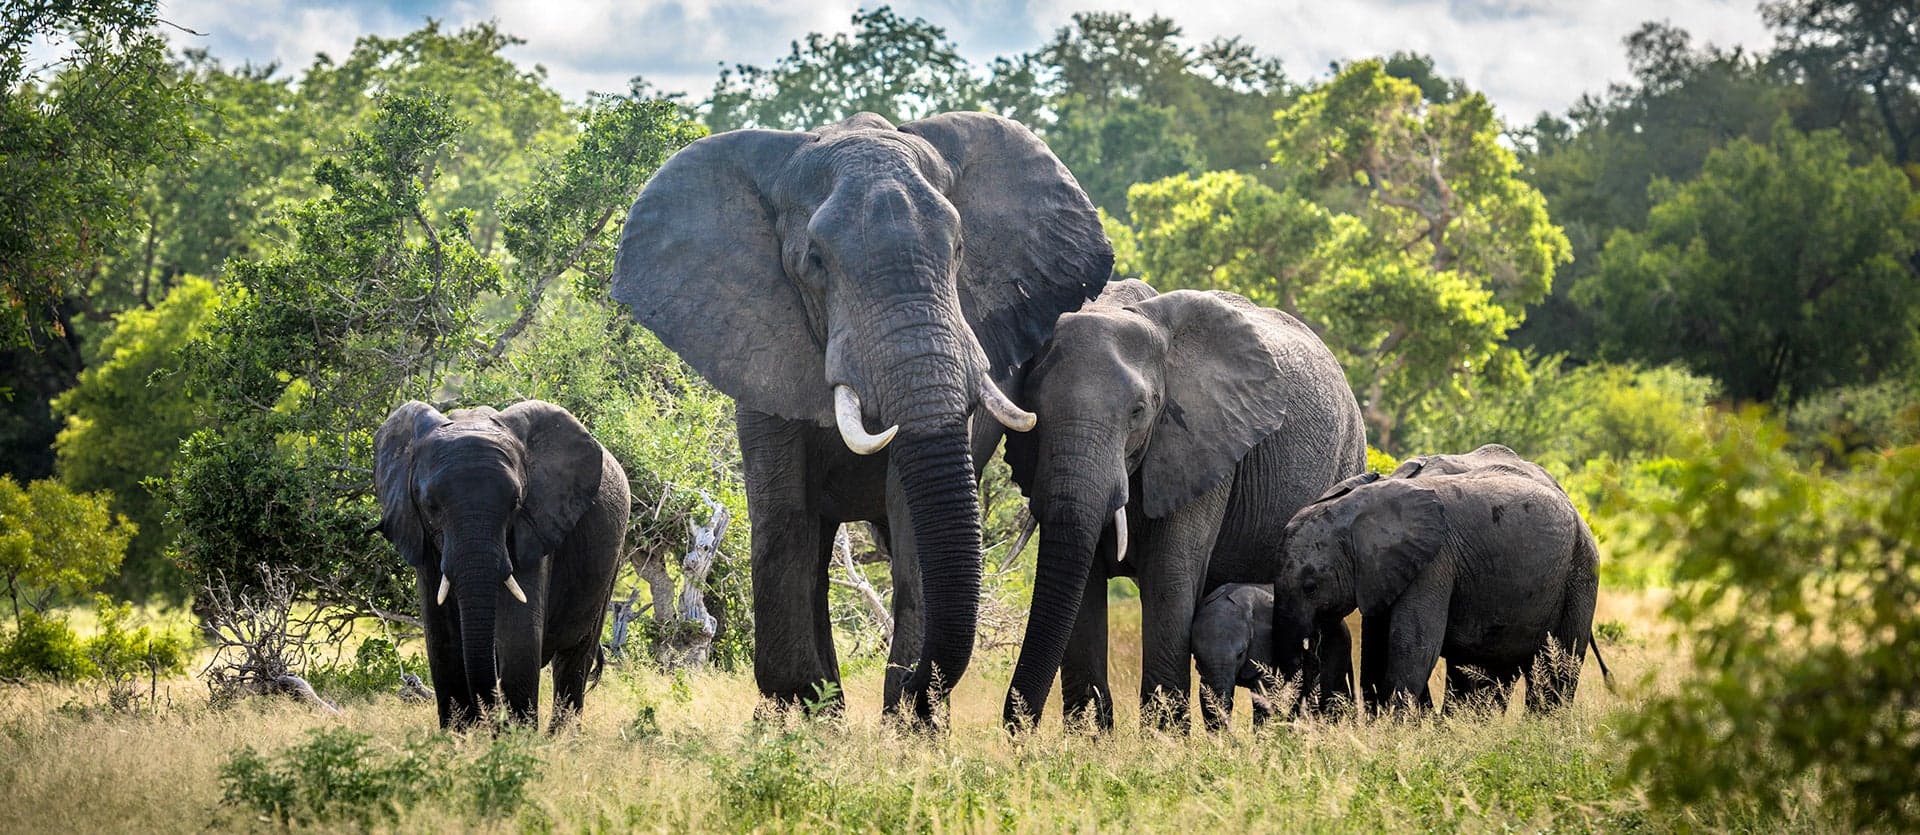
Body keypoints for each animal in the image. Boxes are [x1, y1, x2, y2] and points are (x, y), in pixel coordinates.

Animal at [374, 400, 629, 730]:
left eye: (516, 502)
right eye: (430, 506)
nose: (492, 723)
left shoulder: (536, 526)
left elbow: (518, 634)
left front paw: (516, 738)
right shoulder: (422, 540)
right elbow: (442, 638)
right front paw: (459, 735)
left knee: (574, 657)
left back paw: (561, 738)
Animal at [611, 111, 1112, 722]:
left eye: (959, 249)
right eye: (814, 263)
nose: (918, 686)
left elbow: (912, 522)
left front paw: (907, 722)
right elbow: (785, 520)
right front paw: (807, 715)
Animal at [1272, 461, 1609, 716]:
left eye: (1310, 587)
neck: (1358, 505)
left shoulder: (1433, 564)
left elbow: (1412, 645)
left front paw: (1397, 730)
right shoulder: (1381, 572)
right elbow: (1376, 646)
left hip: (1580, 573)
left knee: (1557, 666)